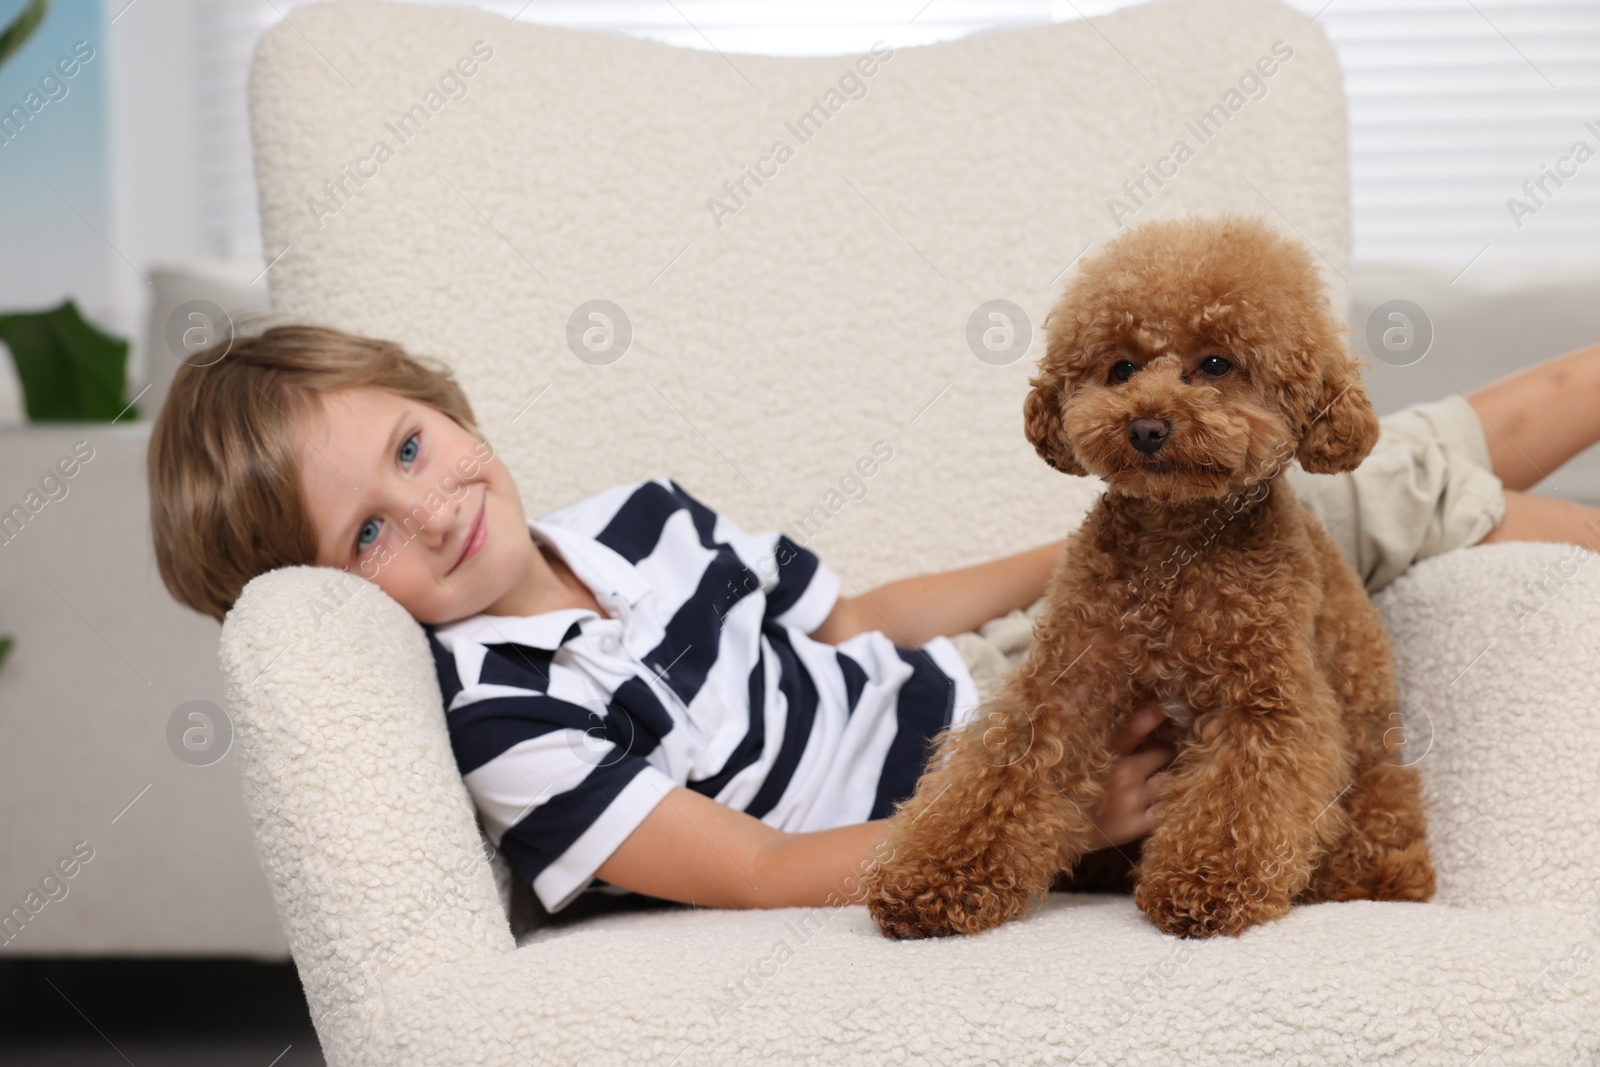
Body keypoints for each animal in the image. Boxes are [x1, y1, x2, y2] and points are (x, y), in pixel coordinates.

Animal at [864, 212, 1440, 940]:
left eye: (1217, 363)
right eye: (1121, 368)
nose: (1146, 426)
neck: (1174, 550)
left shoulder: (1266, 701)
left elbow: (1242, 797)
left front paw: (1205, 886)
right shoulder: (1064, 683)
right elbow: (994, 776)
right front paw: (931, 877)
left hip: (1377, 783)